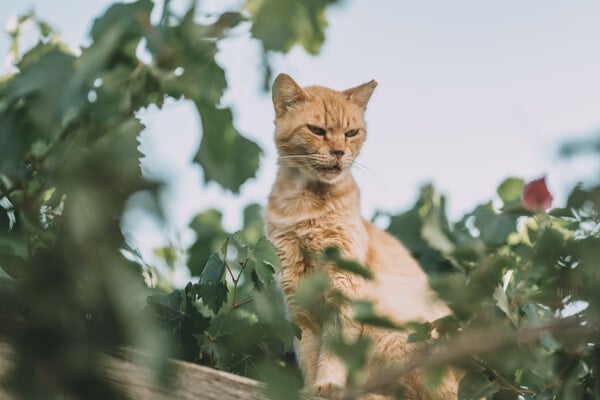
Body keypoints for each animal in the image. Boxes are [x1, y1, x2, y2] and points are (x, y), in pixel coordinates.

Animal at [264, 73, 458, 398]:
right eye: (317, 130)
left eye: (351, 132)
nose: (339, 152)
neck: (305, 206)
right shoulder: (300, 308)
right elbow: (309, 355)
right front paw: (309, 388)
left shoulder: (345, 294)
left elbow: (331, 354)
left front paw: (327, 385)